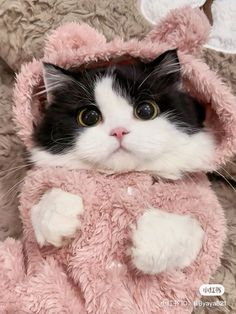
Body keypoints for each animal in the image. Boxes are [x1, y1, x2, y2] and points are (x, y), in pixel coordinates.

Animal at [30, 50, 215, 274]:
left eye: (146, 111)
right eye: (89, 117)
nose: (118, 131)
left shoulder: (205, 215)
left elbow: (183, 226)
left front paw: (149, 244)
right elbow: (46, 196)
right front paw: (59, 219)